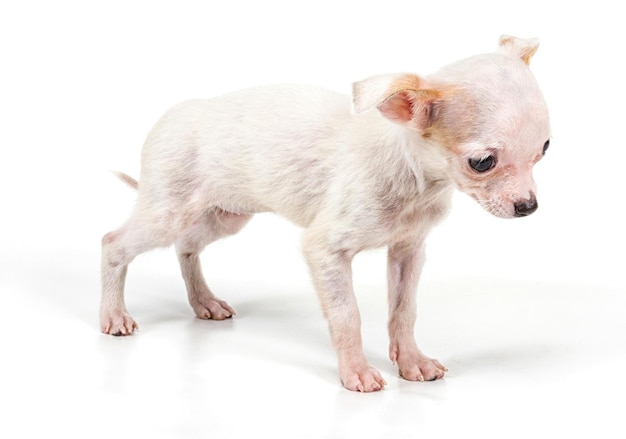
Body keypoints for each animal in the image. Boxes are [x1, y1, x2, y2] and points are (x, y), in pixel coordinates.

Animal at [100, 34, 548, 392]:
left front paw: (411, 362)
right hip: (166, 210)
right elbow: (348, 316)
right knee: (114, 243)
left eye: (544, 149)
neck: (415, 181)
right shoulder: (326, 251)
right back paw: (114, 314)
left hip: (226, 215)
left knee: (186, 245)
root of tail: (170, 117)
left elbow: (403, 312)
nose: (529, 207)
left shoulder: (408, 250)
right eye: (482, 162)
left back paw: (204, 302)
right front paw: (356, 373)